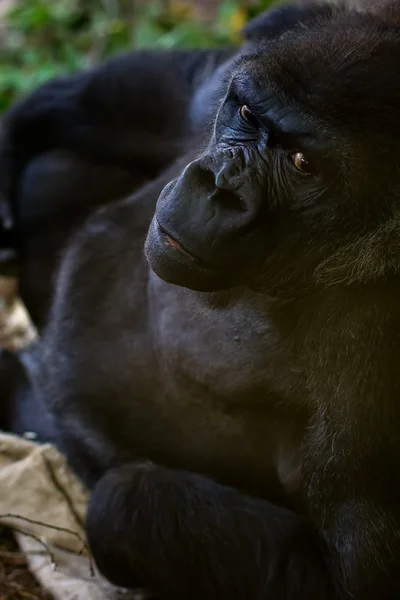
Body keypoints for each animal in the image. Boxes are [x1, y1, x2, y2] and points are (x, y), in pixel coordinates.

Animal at [0, 0, 400, 596]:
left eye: (302, 163)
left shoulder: (375, 350)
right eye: (248, 115)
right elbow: (177, 86)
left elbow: (346, 575)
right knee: (51, 172)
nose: (218, 187)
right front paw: (5, 151)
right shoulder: (276, 42)